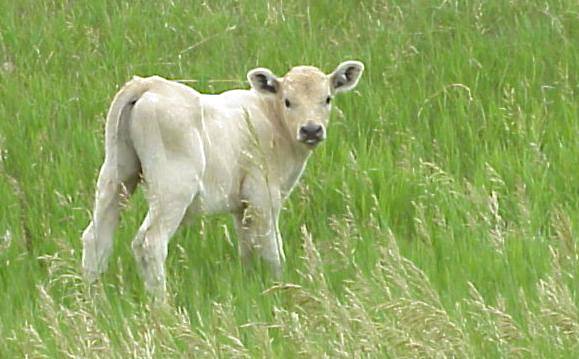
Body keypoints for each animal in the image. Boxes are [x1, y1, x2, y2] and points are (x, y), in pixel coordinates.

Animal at [82, 61, 362, 298]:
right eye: (287, 101)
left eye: (327, 99)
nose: (311, 130)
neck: (272, 120)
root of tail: (149, 84)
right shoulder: (263, 197)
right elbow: (272, 248)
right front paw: (281, 286)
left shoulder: (242, 204)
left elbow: (247, 247)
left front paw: (250, 283)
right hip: (173, 186)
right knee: (150, 243)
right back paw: (162, 306)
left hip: (116, 173)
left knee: (96, 235)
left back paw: (94, 299)